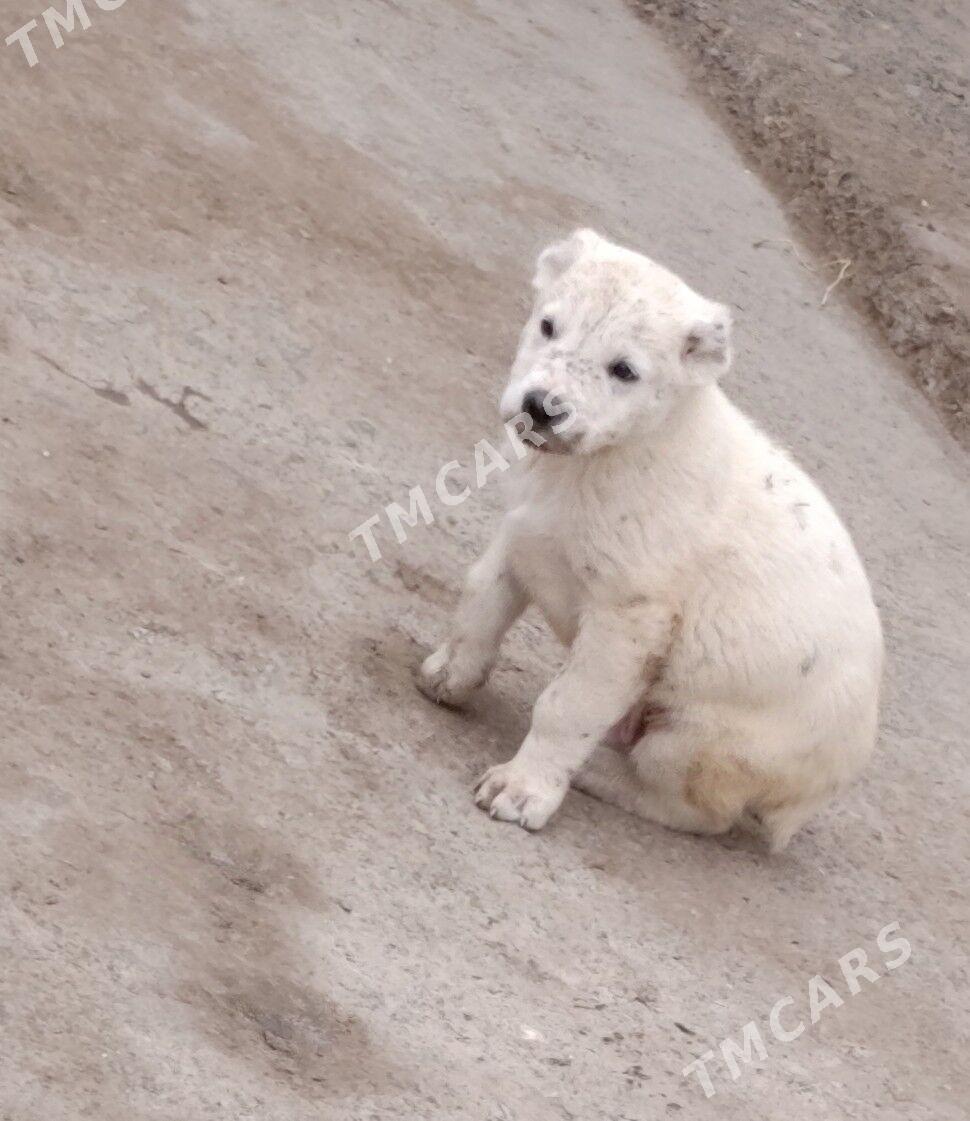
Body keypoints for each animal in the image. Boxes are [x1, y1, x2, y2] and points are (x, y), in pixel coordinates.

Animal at [412, 234, 883, 847]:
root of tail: (814, 798)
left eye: (624, 370)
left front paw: (524, 789)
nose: (541, 406)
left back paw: (606, 777)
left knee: (696, 812)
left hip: (696, 737)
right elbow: (479, 606)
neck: (604, 459)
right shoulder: (519, 536)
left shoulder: (629, 621)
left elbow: (566, 707)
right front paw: (450, 676)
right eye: (548, 326)